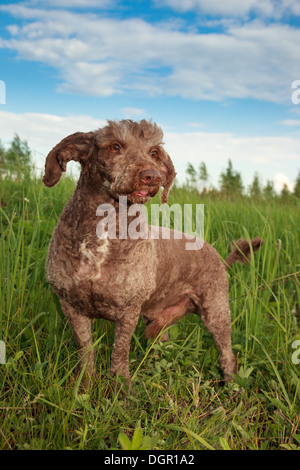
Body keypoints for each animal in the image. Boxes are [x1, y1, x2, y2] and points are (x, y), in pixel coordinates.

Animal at [42, 119, 262, 388]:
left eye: (154, 153)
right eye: (115, 146)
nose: (152, 176)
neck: (105, 230)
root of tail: (220, 258)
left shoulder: (128, 311)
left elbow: (119, 354)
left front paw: (121, 389)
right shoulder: (71, 306)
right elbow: (86, 352)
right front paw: (83, 385)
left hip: (216, 311)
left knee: (228, 354)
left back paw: (231, 386)